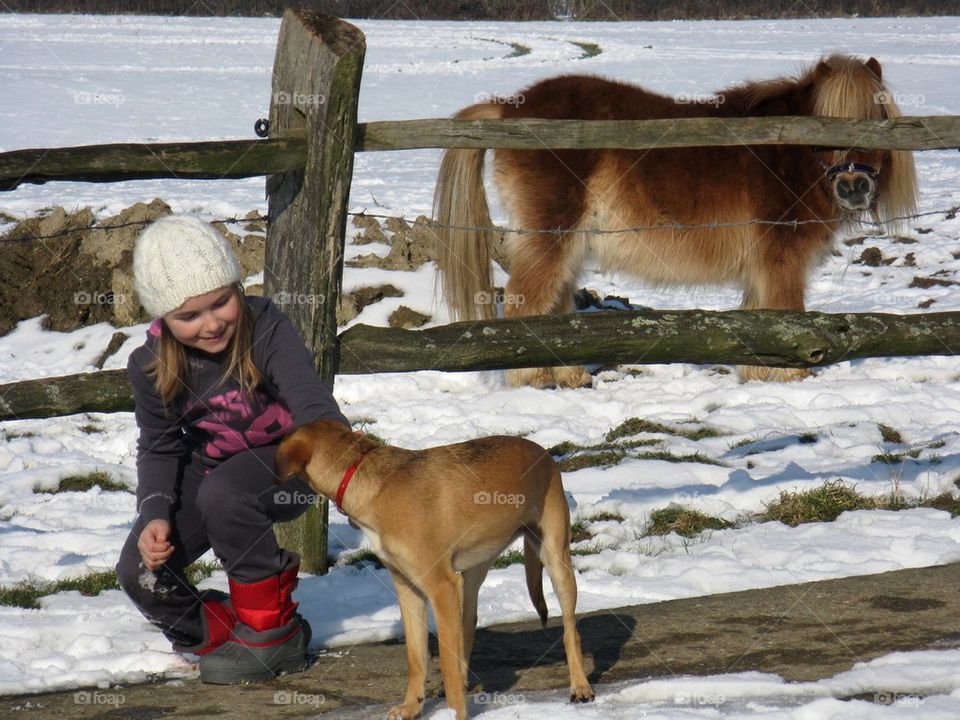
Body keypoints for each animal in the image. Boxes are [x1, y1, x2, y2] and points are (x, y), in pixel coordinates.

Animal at [274, 420, 596, 716]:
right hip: (471, 575)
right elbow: (416, 658)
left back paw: (580, 686)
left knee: (571, 632)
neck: (365, 476)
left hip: (555, 559)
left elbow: (446, 661)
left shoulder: (440, 587)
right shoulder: (409, 589)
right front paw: (411, 707)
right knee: (469, 627)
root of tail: (543, 452)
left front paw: (454, 713)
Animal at [434, 55, 916, 388]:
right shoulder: (782, 258)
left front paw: (759, 376)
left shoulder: (762, 265)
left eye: (878, 121)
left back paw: (571, 376)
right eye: (825, 125)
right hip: (550, 236)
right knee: (526, 304)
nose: (854, 187)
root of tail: (509, 110)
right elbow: (785, 312)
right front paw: (792, 380)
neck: (788, 152)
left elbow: (762, 316)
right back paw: (533, 379)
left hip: (568, 246)